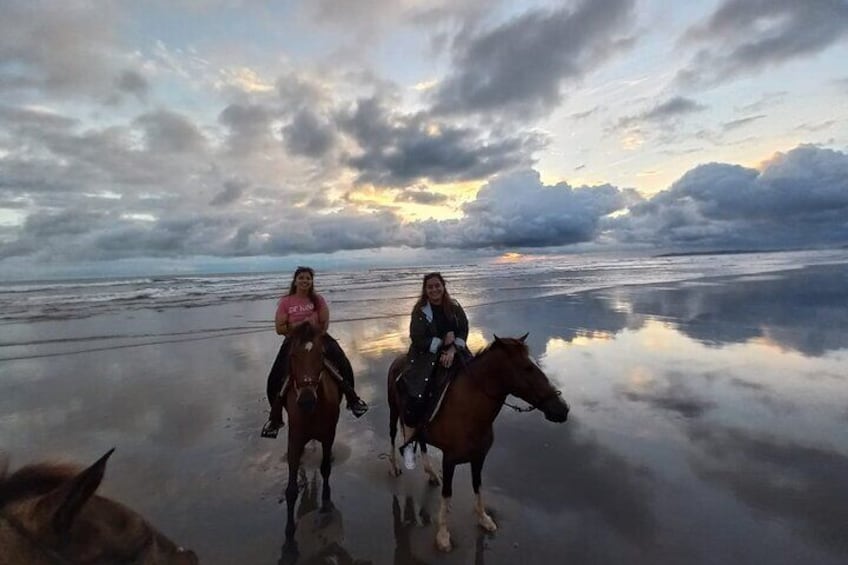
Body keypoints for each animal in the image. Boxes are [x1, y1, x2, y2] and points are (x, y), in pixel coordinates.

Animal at [282, 324, 342, 548]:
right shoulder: (294, 439)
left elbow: (325, 468)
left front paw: (325, 506)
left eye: (321, 355)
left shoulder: (329, 434)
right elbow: (291, 490)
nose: (306, 400)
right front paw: (289, 532)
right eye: (292, 355)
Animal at [388, 334, 568, 552]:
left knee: (421, 442)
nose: (562, 409)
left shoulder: (479, 458)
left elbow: (478, 487)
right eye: (527, 368)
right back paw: (394, 467)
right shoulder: (449, 460)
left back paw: (430, 473)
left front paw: (484, 519)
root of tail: (398, 359)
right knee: (392, 435)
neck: (470, 411)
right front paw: (443, 535)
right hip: (393, 410)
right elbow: (447, 494)